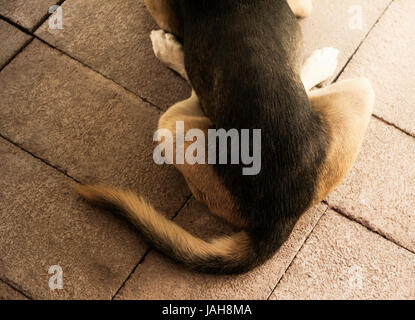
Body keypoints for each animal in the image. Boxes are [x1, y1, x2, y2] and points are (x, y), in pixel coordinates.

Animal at [74, 0, 374, 276]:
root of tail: (281, 213)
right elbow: (306, 8)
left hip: (171, 126)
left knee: (193, 85)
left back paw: (169, 50)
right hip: (361, 89)